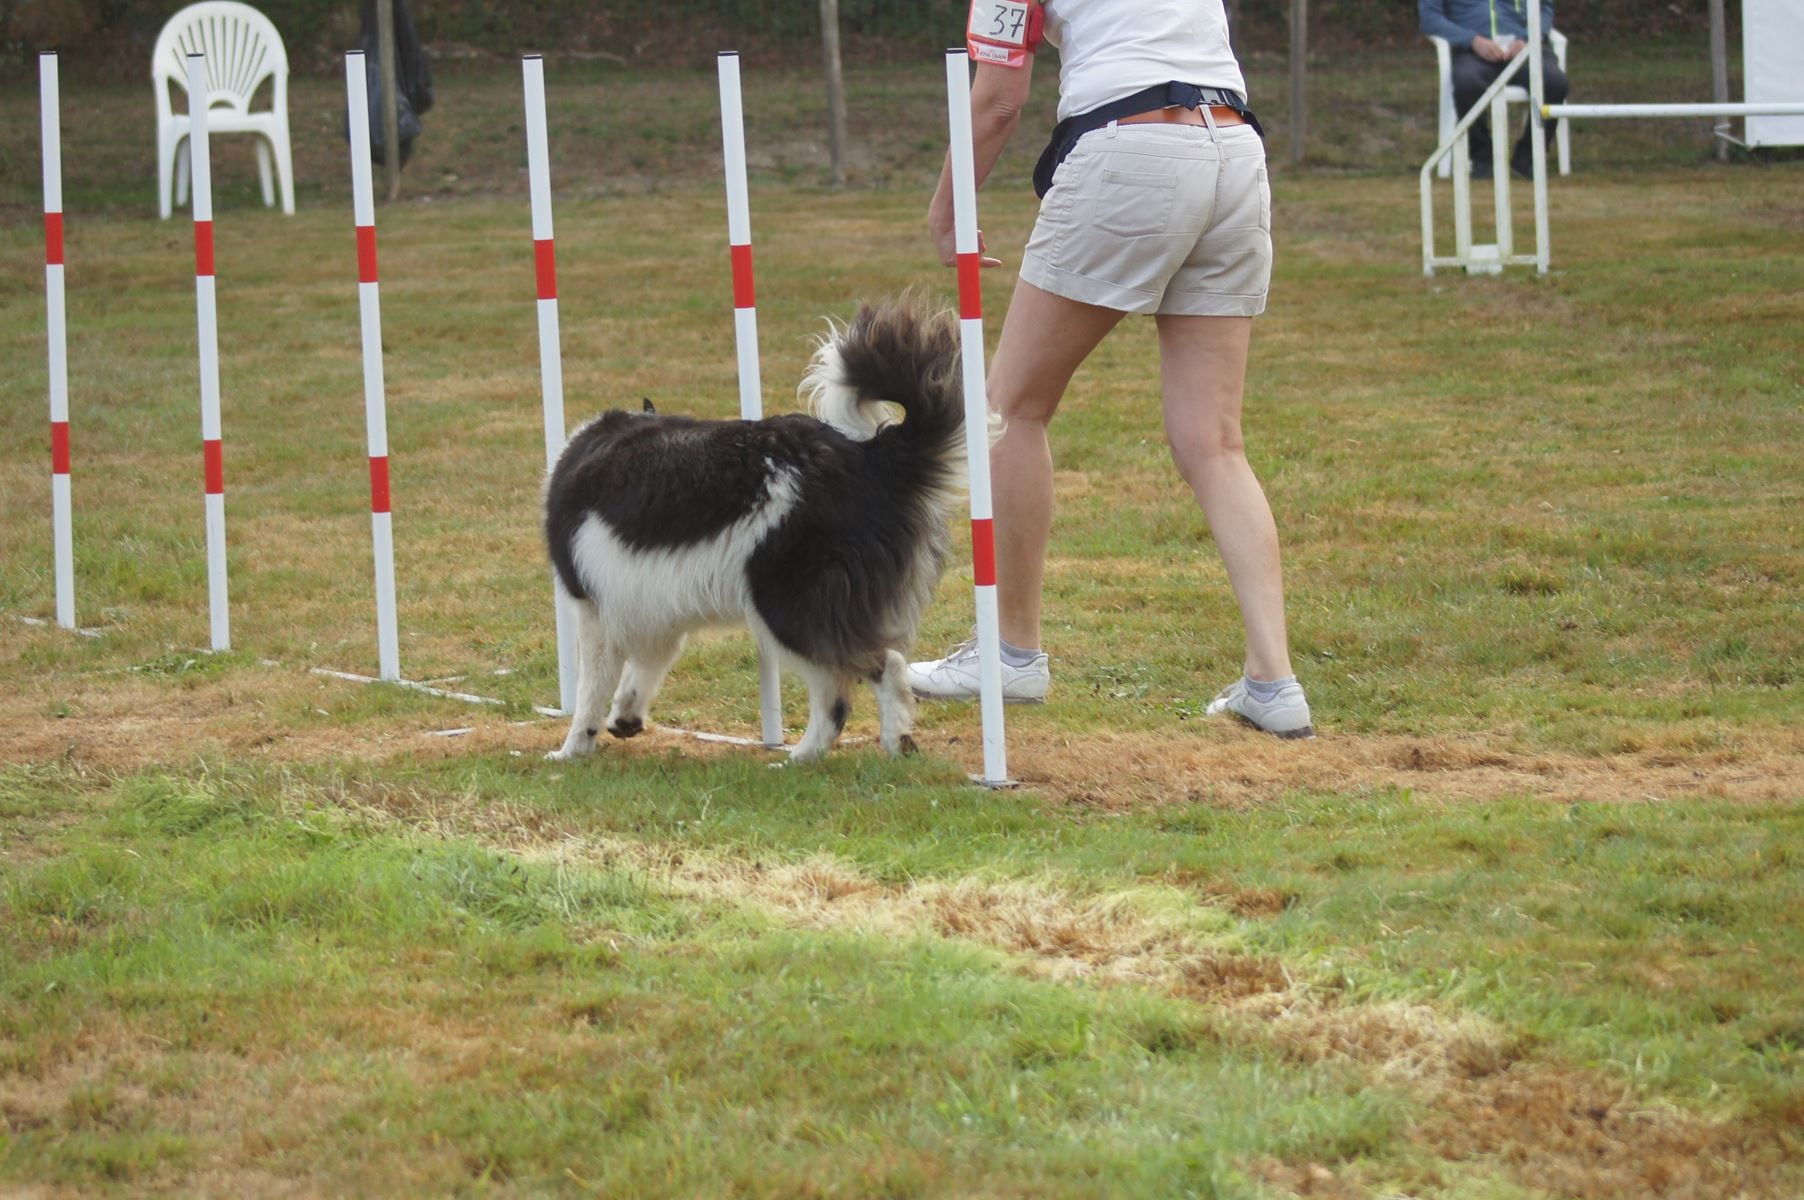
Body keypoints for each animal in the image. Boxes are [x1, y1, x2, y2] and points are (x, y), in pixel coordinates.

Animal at [544, 294, 974, 757]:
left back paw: (853, 746)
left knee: (869, 674)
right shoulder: (652, 606)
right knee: (852, 681)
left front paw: (572, 748)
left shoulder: (594, 610)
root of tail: (869, 458)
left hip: (786, 604)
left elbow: (591, 690)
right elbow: (644, 668)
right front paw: (625, 717)